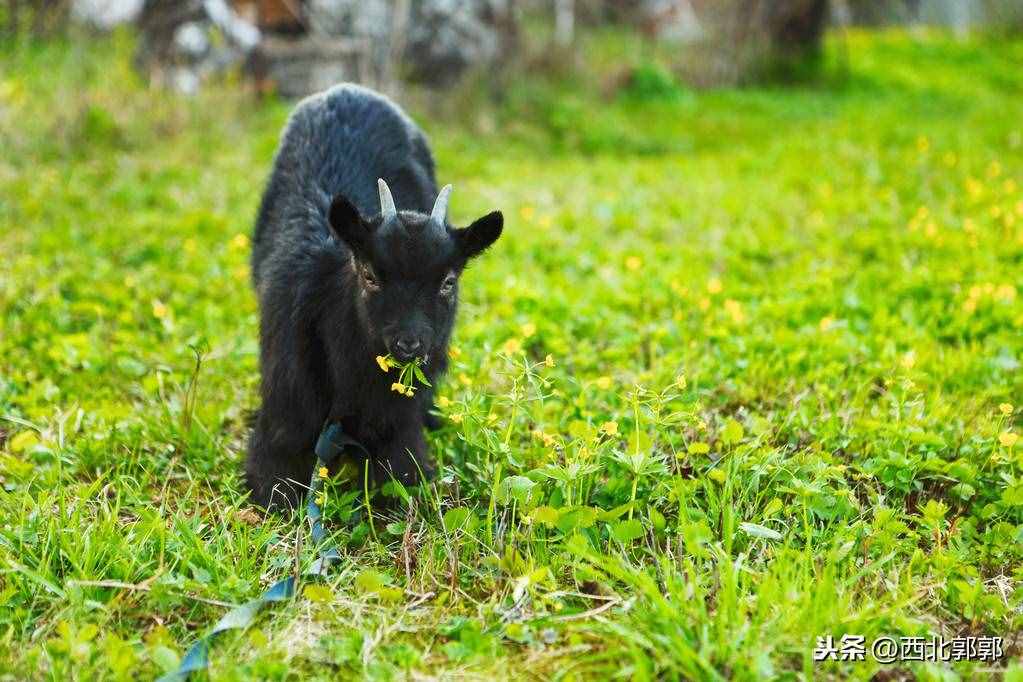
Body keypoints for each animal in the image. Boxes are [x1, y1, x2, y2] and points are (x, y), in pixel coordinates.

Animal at [247, 85, 503, 509]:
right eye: (369, 275)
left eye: (448, 282)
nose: (409, 343)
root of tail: (349, 89)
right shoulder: (284, 419)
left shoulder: (400, 429)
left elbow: (402, 480)